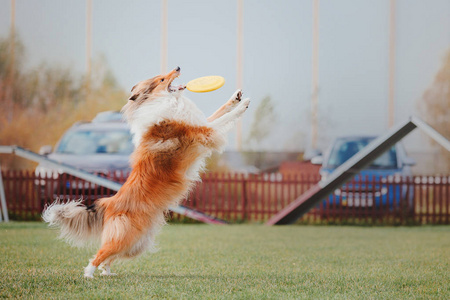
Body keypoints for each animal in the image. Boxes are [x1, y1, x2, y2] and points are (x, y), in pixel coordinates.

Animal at [42, 67, 250, 278]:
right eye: (162, 79)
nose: (178, 67)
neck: (164, 101)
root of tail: (110, 202)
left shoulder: (202, 123)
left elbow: (219, 112)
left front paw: (236, 98)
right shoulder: (204, 132)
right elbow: (223, 119)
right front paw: (243, 105)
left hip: (136, 243)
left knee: (108, 257)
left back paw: (107, 273)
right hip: (125, 237)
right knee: (99, 254)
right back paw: (89, 274)